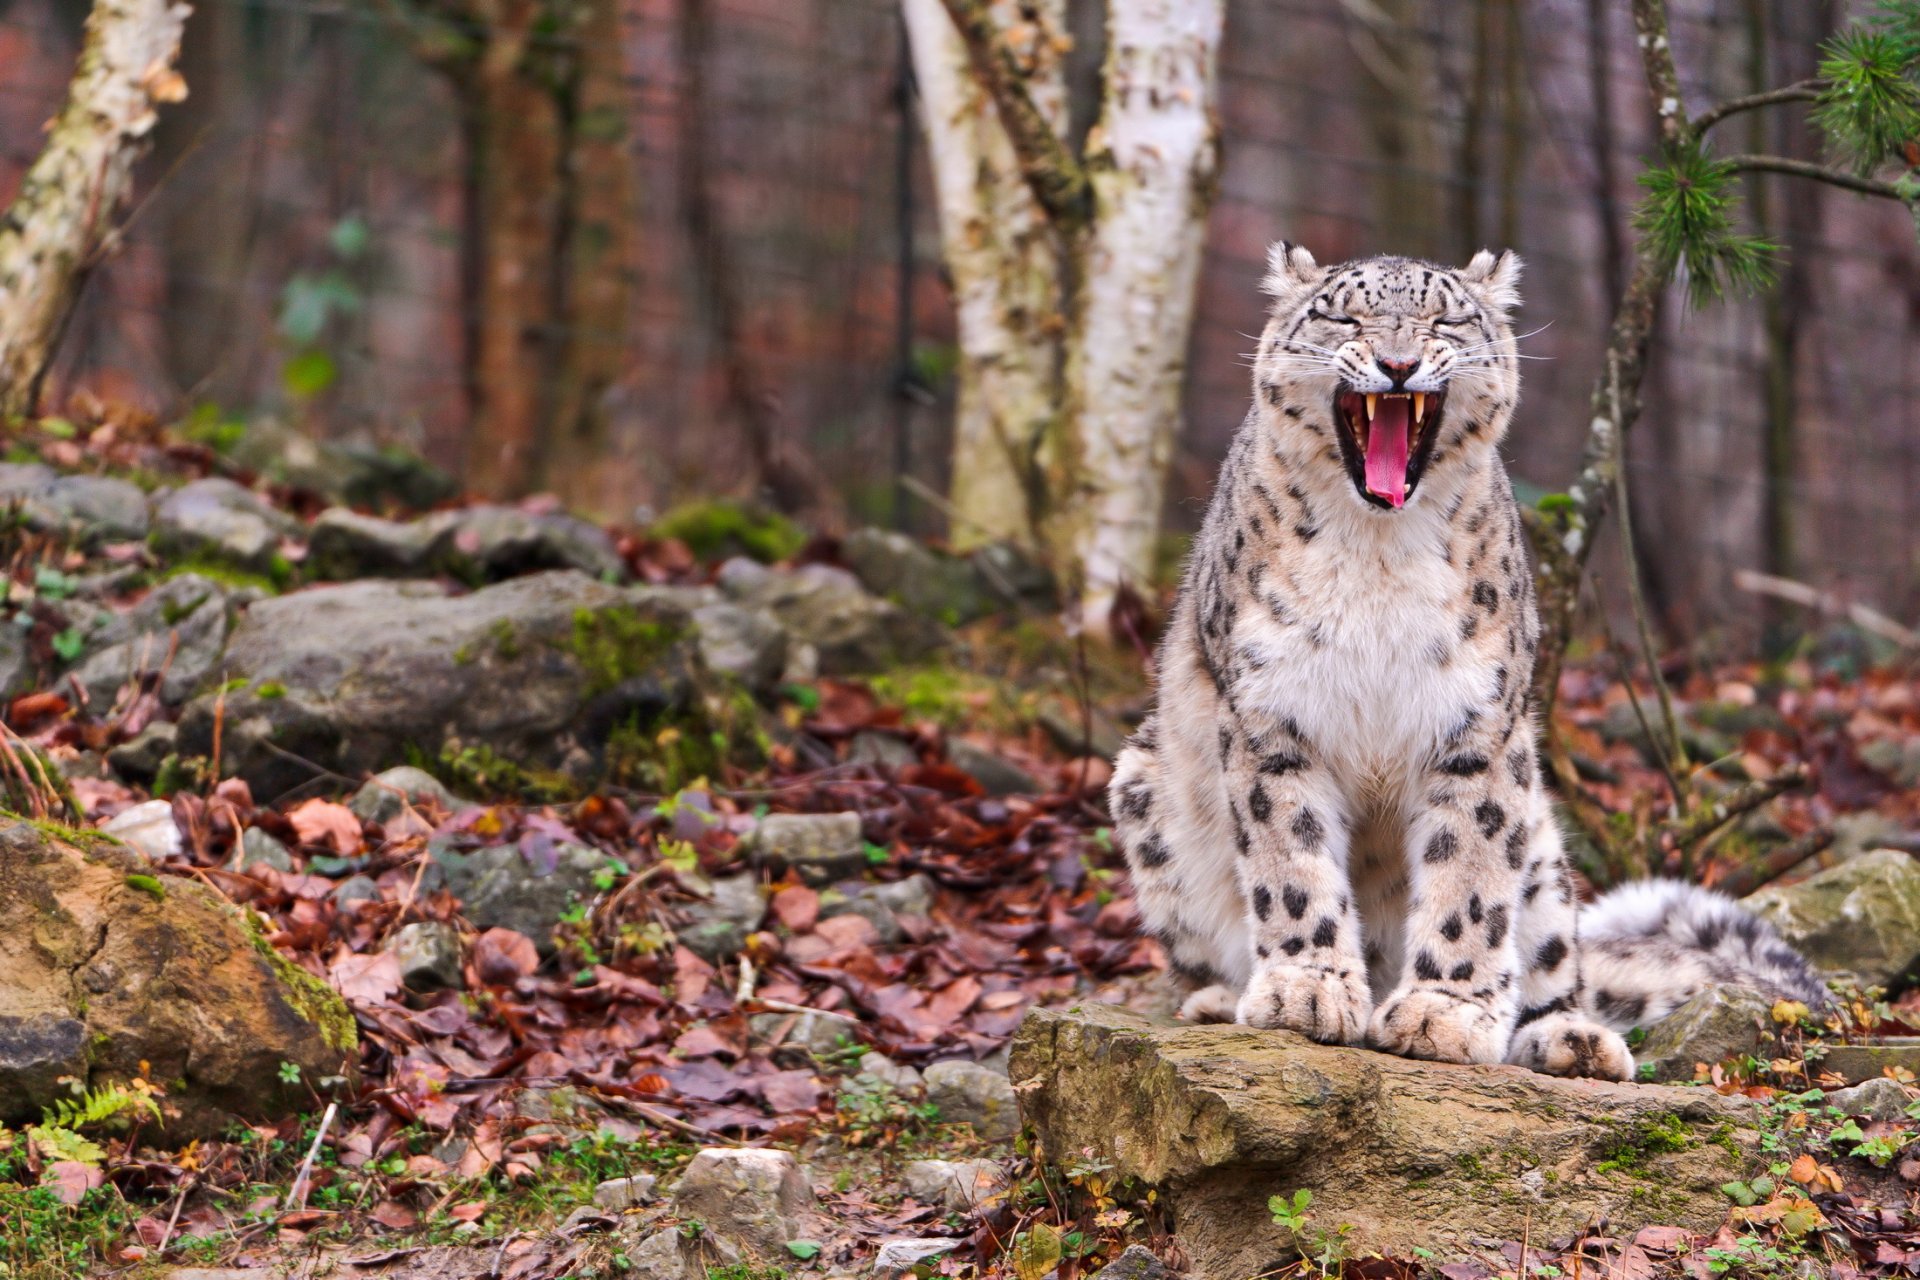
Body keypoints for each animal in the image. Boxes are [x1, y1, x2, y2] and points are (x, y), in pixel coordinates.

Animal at [1109, 245, 1826, 1079]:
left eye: (1445, 320)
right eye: (1343, 316)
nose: (1398, 363)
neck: (1379, 550)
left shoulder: (1477, 726)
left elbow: (1470, 876)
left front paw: (1442, 1014)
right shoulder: (1272, 716)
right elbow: (1292, 860)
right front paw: (1307, 990)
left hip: (1543, 846)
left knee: (1555, 962)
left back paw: (1571, 1039)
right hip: (1144, 787)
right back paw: (1223, 999)